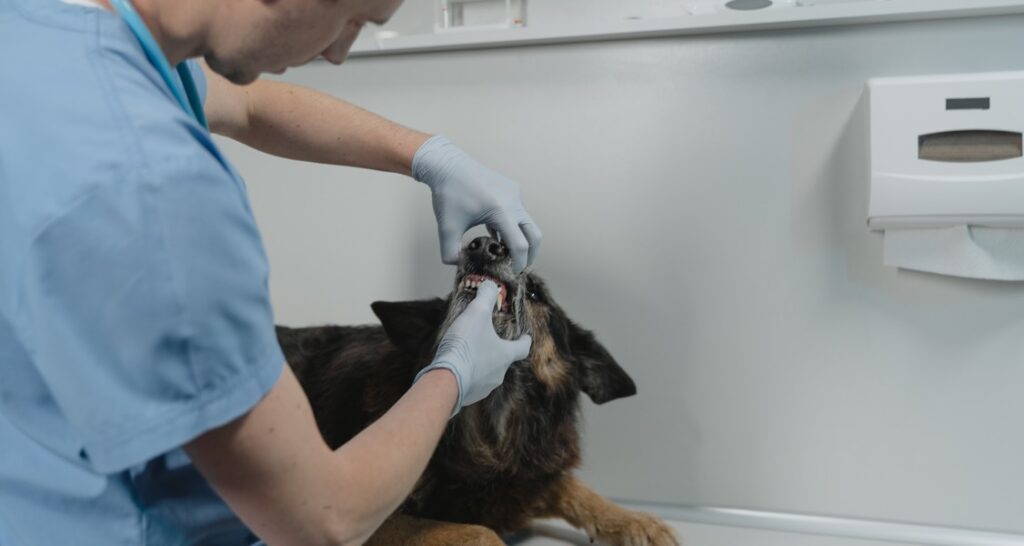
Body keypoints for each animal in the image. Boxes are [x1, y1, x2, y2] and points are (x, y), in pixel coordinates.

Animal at [280, 235, 679, 544]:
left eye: (536, 293)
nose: (484, 244)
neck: (489, 432)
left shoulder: (528, 476)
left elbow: (572, 487)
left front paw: (639, 521)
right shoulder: (370, 520)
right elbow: (477, 531)